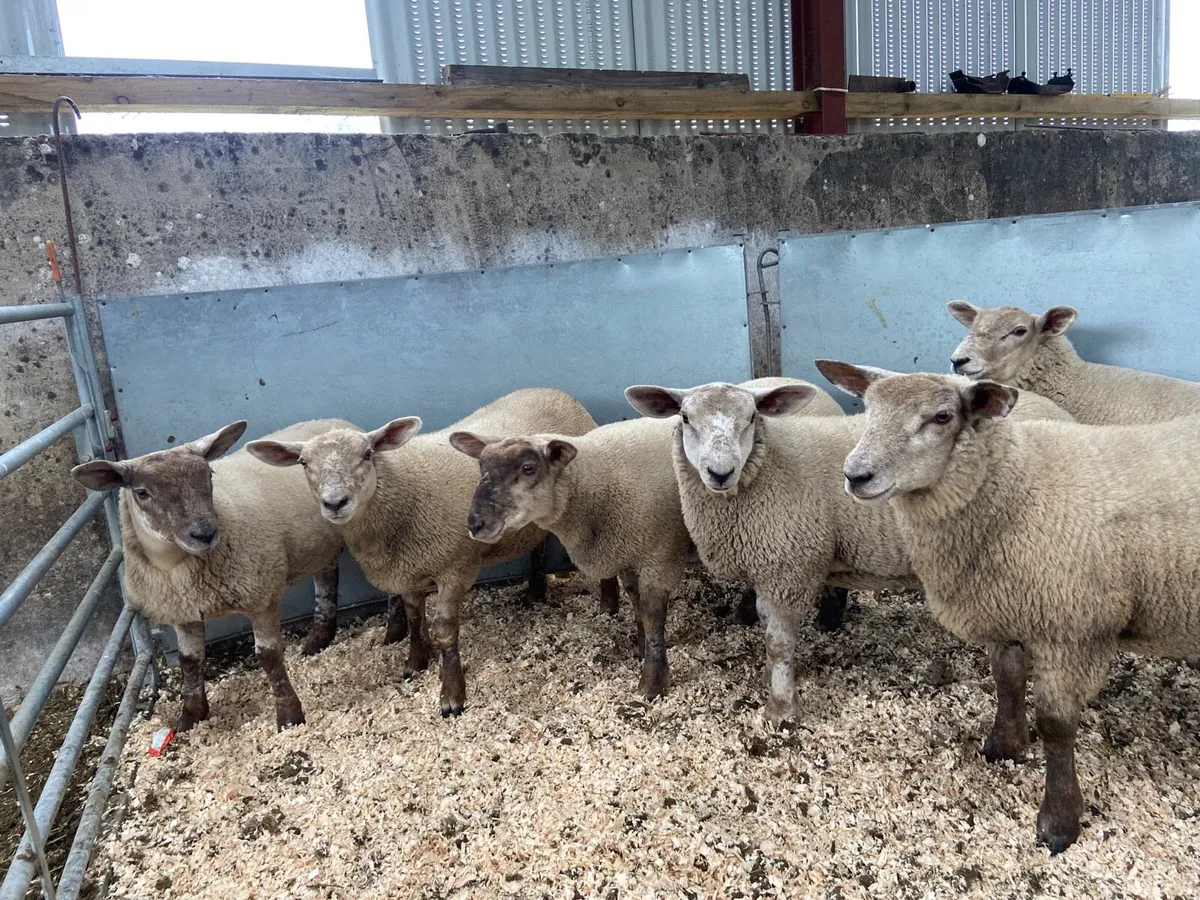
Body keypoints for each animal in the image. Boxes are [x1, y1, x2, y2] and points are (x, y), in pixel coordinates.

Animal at [71, 419, 355, 731]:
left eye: (208, 474)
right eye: (142, 492)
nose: (204, 534)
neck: (176, 566)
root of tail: (333, 423)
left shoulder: (261, 597)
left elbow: (269, 656)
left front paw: (289, 715)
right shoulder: (182, 611)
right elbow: (189, 661)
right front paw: (190, 716)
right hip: (319, 543)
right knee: (326, 578)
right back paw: (319, 638)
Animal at [246, 388, 601, 717]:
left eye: (368, 453)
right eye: (303, 463)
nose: (335, 503)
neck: (403, 492)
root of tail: (554, 391)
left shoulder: (455, 568)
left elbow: (445, 630)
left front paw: (451, 695)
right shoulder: (408, 569)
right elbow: (415, 615)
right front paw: (416, 661)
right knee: (538, 543)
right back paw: (534, 592)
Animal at [626, 377, 1073, 727]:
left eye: (751, 417)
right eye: (685, 418)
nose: (720, 472)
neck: (764, 472)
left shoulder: (789, 565)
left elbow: (779, 642)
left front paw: (781, 710)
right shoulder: (772, 569)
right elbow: (770, 631)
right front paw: (772, 679)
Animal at [820, 360, 1200, 853]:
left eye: (942, 417)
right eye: (867, 407)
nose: (856, 475)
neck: (1017, 488)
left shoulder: (1073, 629)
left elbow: (1056, 725)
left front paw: (1059, 820)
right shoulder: (1007, 608)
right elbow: (1006, 680)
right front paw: (1004, 745)